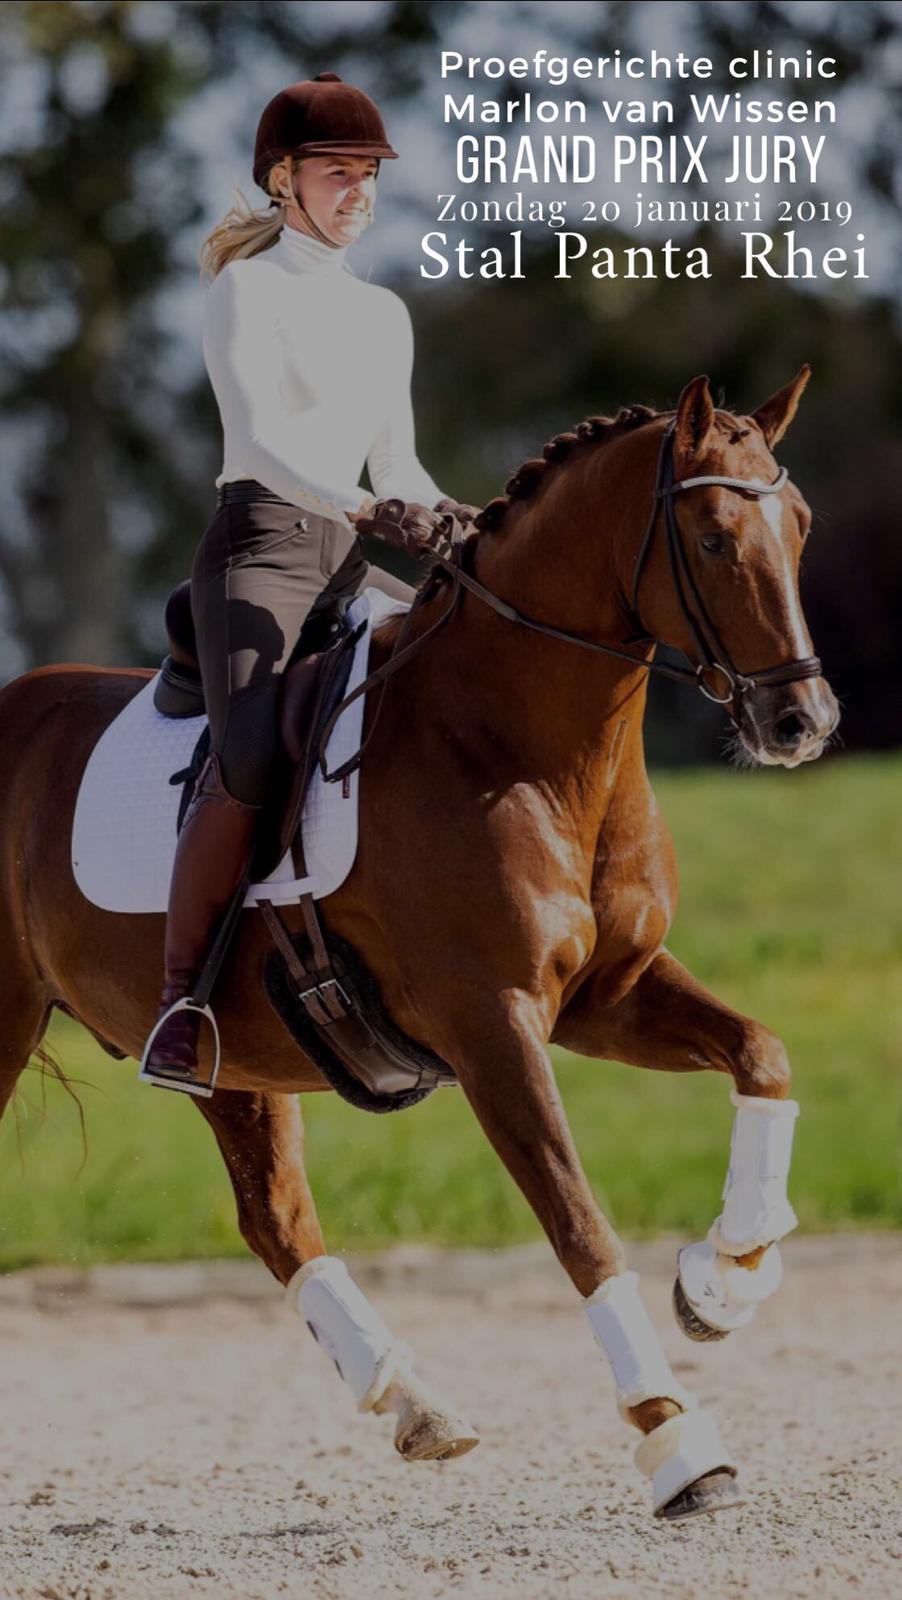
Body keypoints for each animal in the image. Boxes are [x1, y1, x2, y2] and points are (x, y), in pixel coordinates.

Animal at [0, 371, 838, 1523]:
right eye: (712, 538)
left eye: (797, 526)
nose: (803, 721)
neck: (509, 743)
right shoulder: (492, 1027)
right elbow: (578, 1222)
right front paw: (678, 1441)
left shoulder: (607, 994)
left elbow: (763, 1053)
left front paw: (726, 1276)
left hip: (231, 1060)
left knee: (276, 1220)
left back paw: (417, 1406)